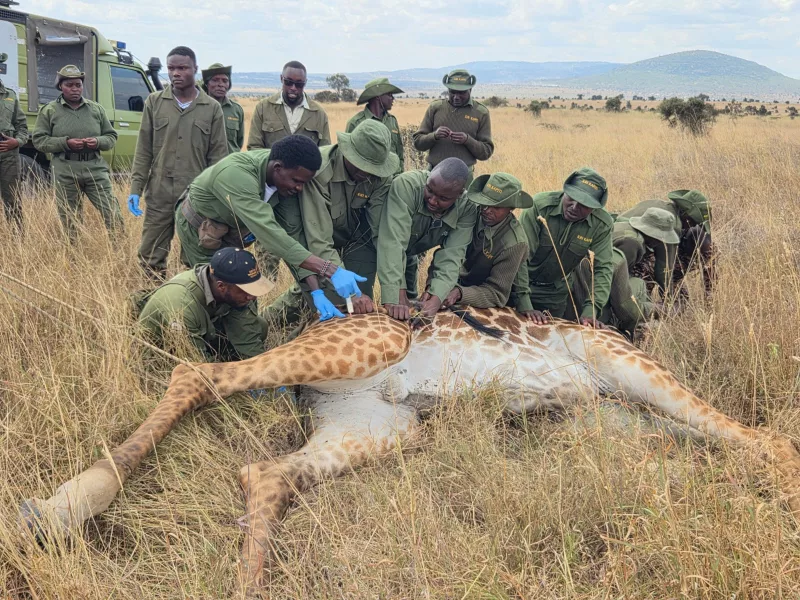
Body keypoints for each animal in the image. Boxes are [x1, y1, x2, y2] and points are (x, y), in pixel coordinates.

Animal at [18, 308, 800, 596]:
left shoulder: (610, 426)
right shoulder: (624, 368)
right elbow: (769, 441)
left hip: (379, 425)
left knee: (265, 471)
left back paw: (244, 583)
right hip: (369, 346)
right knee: (196, 374)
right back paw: (64, 506)